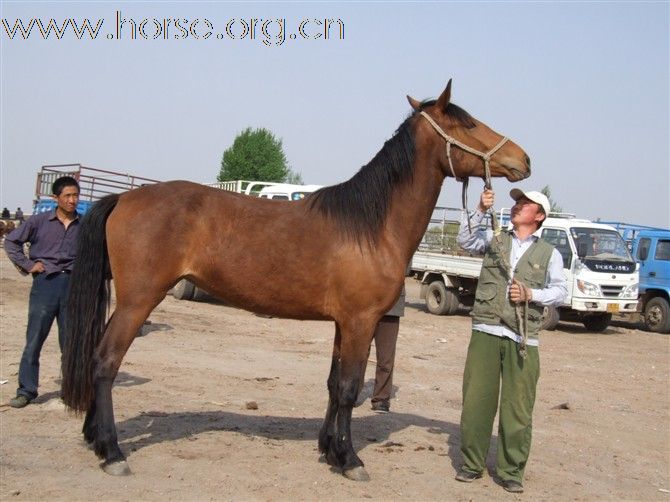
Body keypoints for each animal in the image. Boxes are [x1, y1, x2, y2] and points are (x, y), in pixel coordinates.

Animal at [61, 80, 532, 480]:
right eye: (467, 123)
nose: (523, 159)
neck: (372, 225)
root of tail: (125, 197)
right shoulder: (361, 321)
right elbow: (349, 388)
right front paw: (350, 460)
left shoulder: (344, 324)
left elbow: (334, 385)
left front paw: (329, 450)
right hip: (139, 300)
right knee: (104, 362)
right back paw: (112, 452)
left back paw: (94, 439)